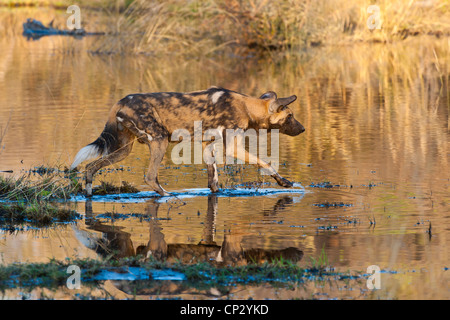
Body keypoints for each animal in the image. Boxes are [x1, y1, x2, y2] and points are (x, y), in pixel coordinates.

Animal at [70, 87, 306, 198]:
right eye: (291, 116)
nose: (303, 129)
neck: (248, 107)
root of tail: (121, 101)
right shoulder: (233, 148)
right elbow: (265, 163)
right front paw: (284, 182)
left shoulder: (207, 146)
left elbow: (213, 182)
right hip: (160, 140)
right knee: (150, 177)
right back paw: (168, 195)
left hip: (123, 150)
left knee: (91, 167)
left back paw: (88, 193)